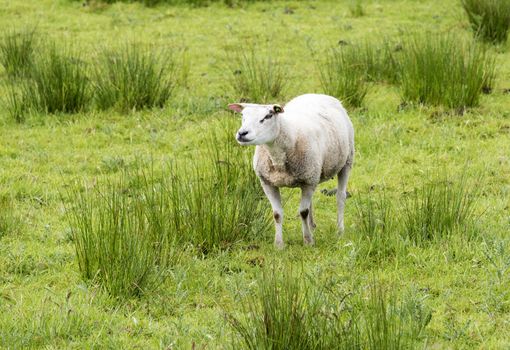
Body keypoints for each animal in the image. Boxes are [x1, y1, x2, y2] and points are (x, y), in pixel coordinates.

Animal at [228, 91, 354, 247]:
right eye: (243, 116)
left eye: (268, 116)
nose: (242, 133)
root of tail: (316, 94)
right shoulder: (268, 183)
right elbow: (277, 214)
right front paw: (279, 244)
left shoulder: (308, 181)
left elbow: (303, 212)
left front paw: (308, 241)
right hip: (313, 174)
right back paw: (312, 226)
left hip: (346, 161)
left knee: (340, 197)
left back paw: (340, 230)